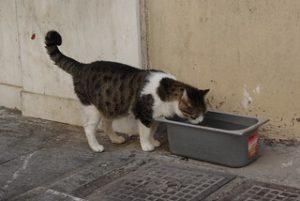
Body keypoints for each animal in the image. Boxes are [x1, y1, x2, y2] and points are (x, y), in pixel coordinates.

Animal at [45, 30, 209, 152]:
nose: (201, 121)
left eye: (203, 112)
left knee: (106, 124)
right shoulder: (143, 114)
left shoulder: (155, 116)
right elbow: (145, 132)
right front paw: (147, 146)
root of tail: (82, 66)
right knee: (89, 128)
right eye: (195, 115)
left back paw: (116, 139)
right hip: (92, 108)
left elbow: (152, 130)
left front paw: (153, 141)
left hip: (109, 106)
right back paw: (96, 147)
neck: (164, 91)